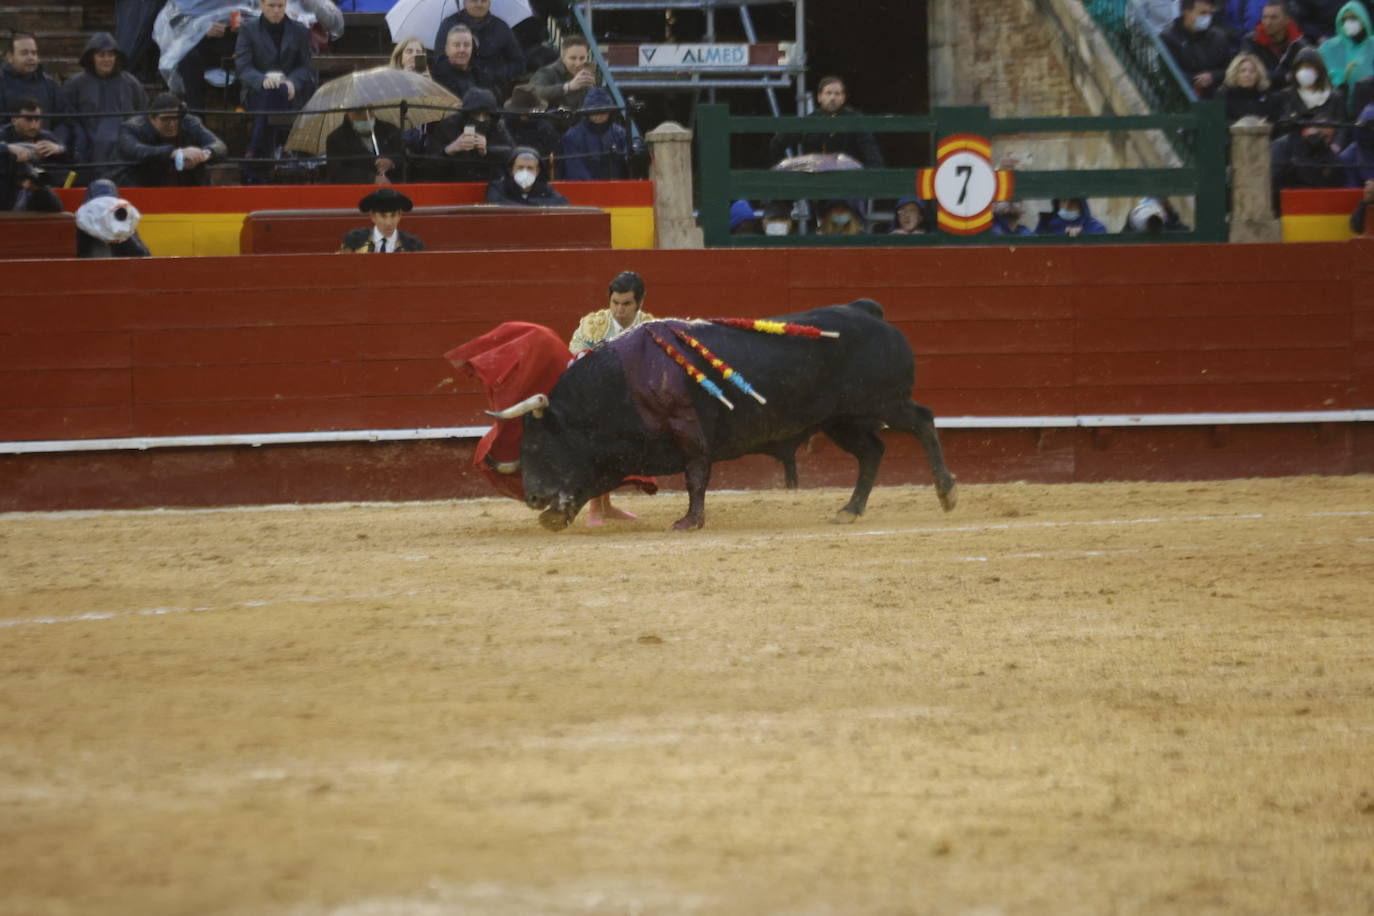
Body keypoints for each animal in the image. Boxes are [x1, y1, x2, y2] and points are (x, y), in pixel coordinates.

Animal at [494, 300, 956, 530]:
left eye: (538, 443)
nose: (532, 496)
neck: (619, 385)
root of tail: (869, 312)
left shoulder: (690, 435)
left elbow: (696, 477)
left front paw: (689, 522)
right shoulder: (615, 455)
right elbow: (593, 482)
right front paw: (556, 517)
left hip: (884, 403)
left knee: (922, 420)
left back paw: (947, 492)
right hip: (842, 421)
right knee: (873, 451)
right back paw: (850, 510)